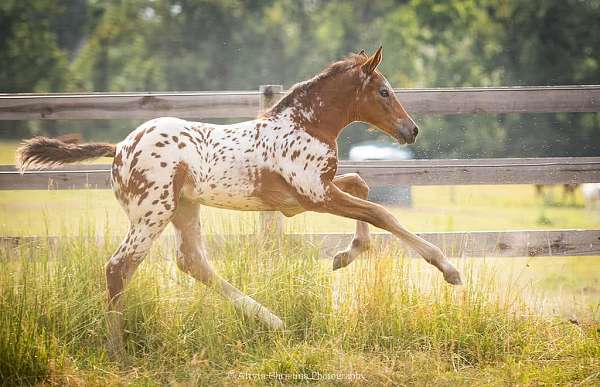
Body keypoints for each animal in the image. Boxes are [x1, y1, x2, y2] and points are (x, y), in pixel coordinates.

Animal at [16, 47, 462, 358]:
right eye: (384, 91)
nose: (412, 130)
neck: (305, 125)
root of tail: (120, 148)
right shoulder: (315, 194)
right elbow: (382, 211)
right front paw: (448, 268)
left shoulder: (314, 192)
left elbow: (363, 187)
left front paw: (344, 255)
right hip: (152, 214)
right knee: (118, 268)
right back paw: (119, 353)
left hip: (184, 208)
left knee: (192, 262)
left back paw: (274, 321)